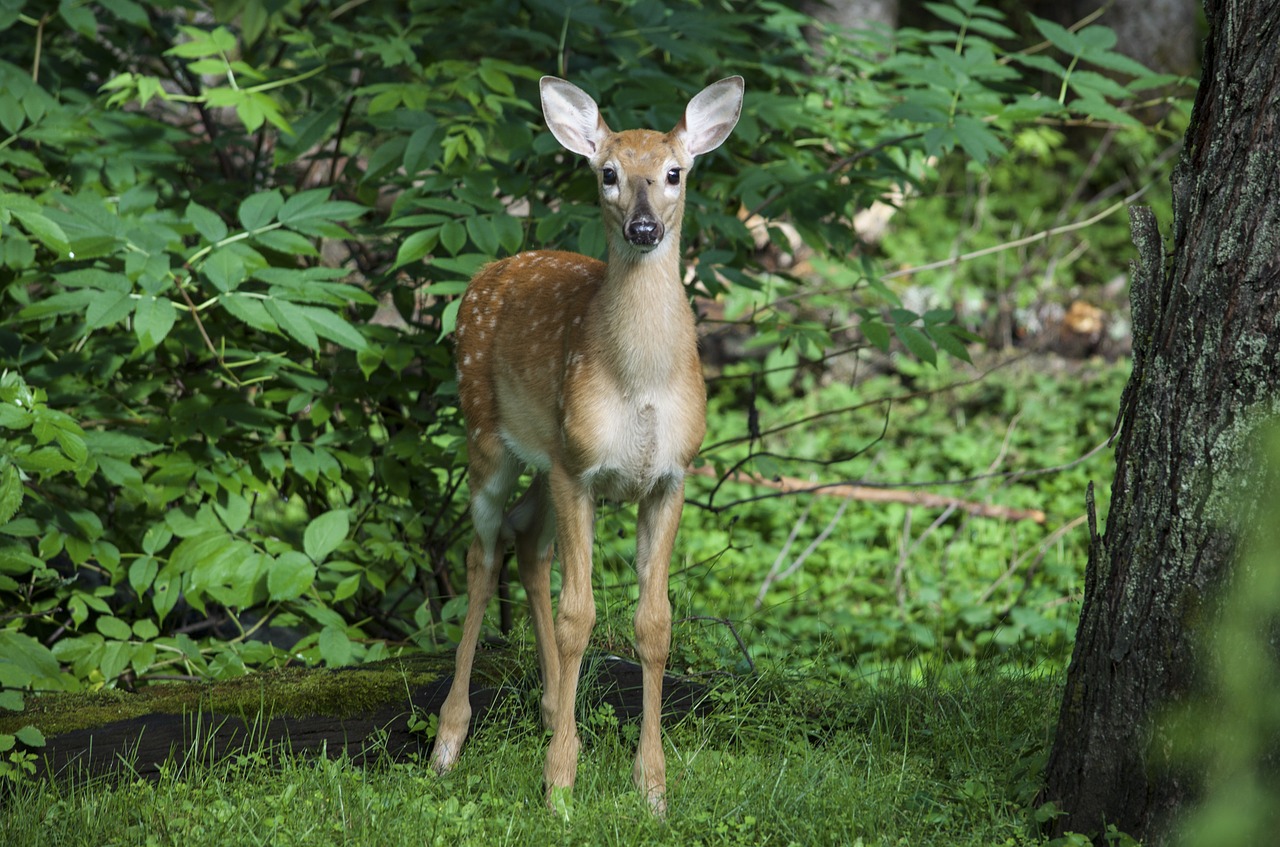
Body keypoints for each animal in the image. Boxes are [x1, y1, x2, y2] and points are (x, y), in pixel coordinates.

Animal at [435, 76, 747, 813]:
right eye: (607, 173)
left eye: (675, 172)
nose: (643, 227)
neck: (641, 383)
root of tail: (487, 271)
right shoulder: (580, 470)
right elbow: (580, 616)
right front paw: (559, 786)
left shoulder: (667, 476)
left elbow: (655, 624)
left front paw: (652, 788)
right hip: (486, 435)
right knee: (480, 555)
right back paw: (448, 741)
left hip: (547, 457)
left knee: (527, 541)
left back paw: (553, 708)